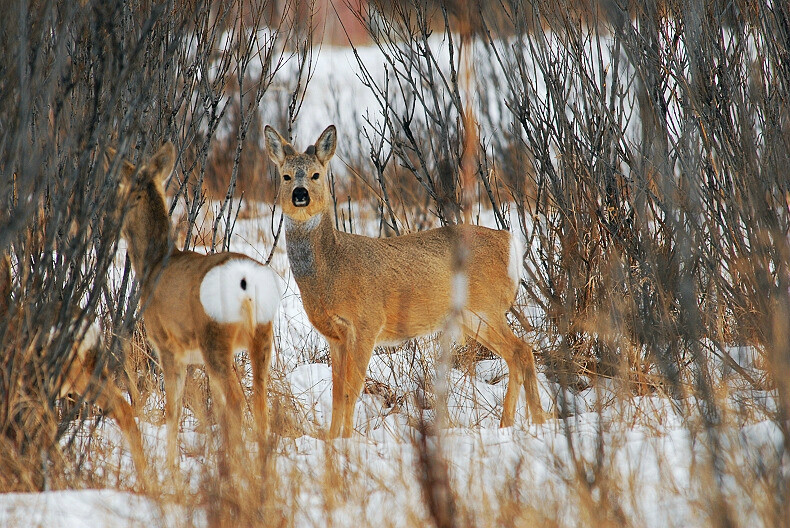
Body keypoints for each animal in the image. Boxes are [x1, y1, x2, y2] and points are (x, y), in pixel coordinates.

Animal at [106, 142, 284, 468]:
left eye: (121, 190)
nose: (109, 221)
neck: (153, 265)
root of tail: (248, 281)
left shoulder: (167, 345)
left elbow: (173, 411)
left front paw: (171, 468)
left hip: (214, 336)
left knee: (238, 401)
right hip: (261, 335)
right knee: (259, 401)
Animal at [262, 124, 548, 438]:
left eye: (315, 175)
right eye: (286, 176)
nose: (300, 194)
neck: (332, 269)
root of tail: (510, 243)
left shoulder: (367, 323)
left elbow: (351, 390)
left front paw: (347, 440)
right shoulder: (334, 336)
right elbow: (337, 392)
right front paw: (332, 439)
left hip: (486, 308)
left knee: (522, 350)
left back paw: (528, 421)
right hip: (474, 317)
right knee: (517, 353)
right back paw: (519, 422)